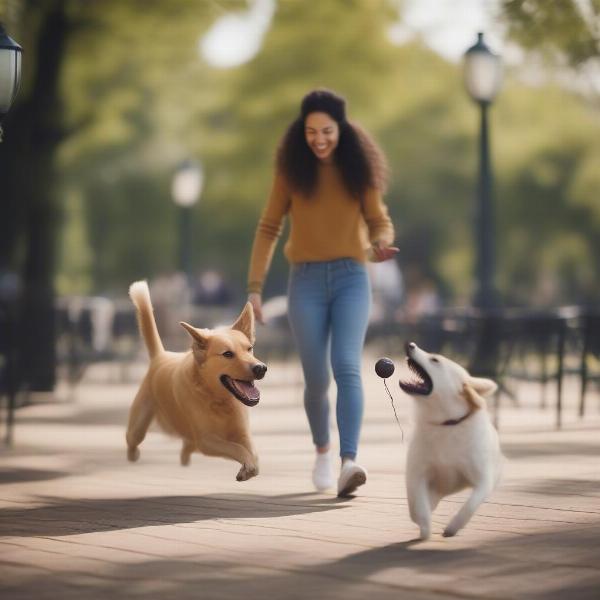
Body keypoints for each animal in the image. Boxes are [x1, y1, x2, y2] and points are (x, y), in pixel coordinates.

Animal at [126, 282, 264, 482]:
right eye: (227, 354)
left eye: (250, 349)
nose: (261, 368)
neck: (219, 401)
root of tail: (161, 356)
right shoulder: (206, 440)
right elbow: (236, 448)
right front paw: (247, 466)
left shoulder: (242, 433)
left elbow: (251, 452)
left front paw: (250, 467)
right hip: (138, 427)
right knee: (132, 441)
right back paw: (133, 456)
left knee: (185, 450)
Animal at [400, 342, 504, 540]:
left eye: (435, 360)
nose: (410, 344)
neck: (446, 424)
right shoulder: (417, 474)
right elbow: (418, 506)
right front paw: (424, 527)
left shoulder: (483, 480)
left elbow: (469, 506)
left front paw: (453, 527)